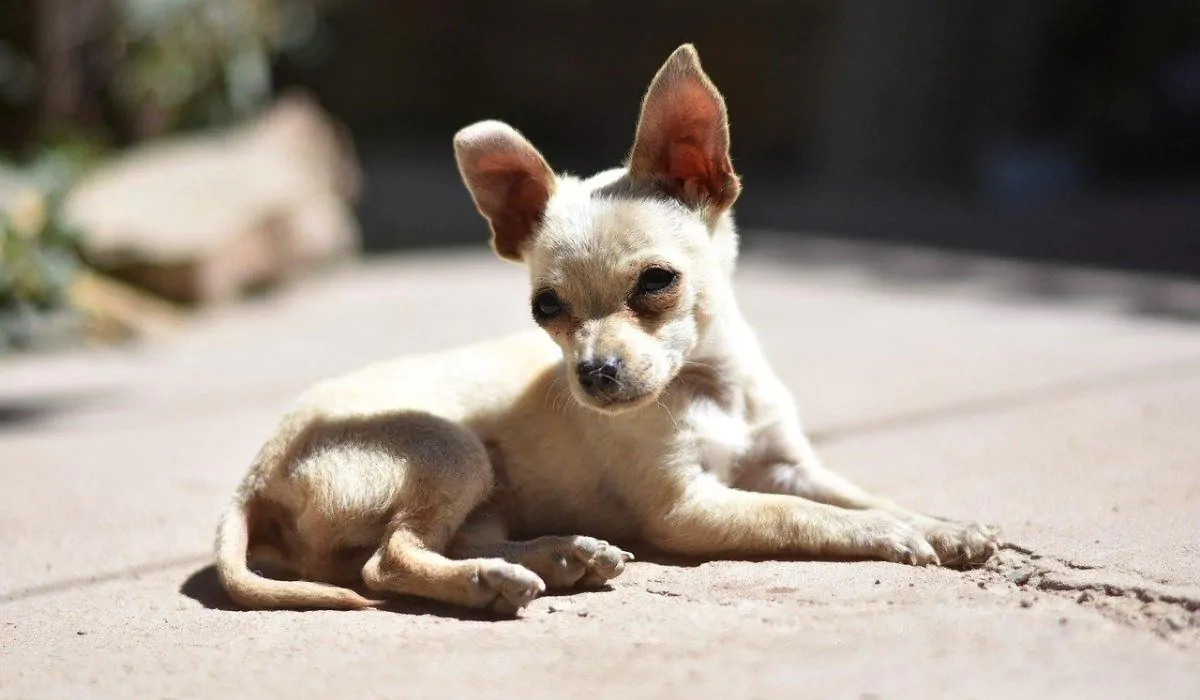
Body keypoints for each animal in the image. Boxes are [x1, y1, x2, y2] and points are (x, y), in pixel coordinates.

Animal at [218, 42, 1003, 614]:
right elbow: (796, 516)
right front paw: (889, 534)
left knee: (425, 546)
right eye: (545, 309)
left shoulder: (789, 464)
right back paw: (492, 583)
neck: (709, 390)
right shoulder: (688, 508)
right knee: (387, 561)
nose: (593, 374)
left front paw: (940, 526)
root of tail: (255, 476)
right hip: (452, 451)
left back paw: (562, 556)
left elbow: (856, 492)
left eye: (656, 283)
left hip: (482, 494)